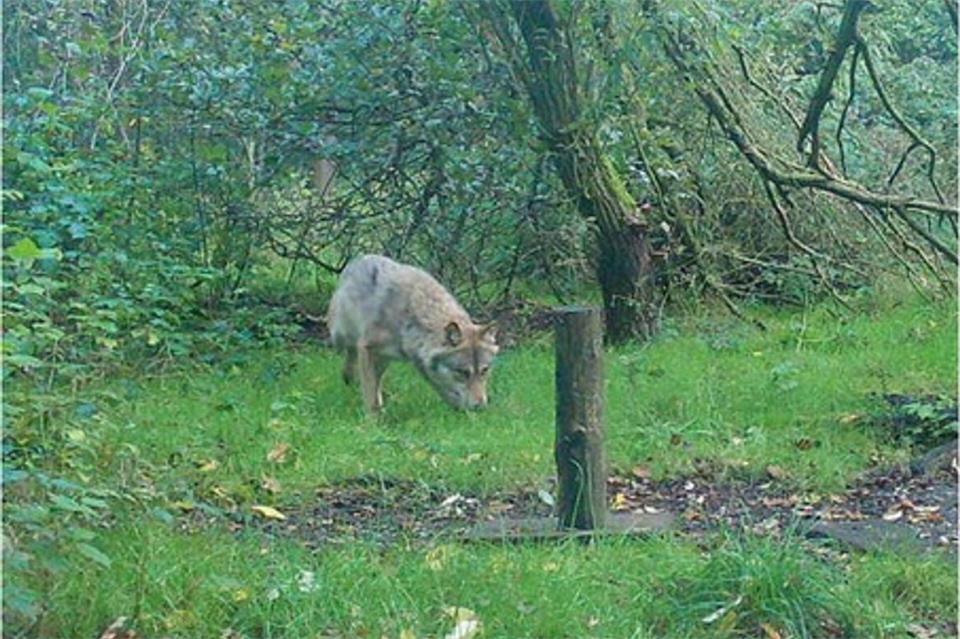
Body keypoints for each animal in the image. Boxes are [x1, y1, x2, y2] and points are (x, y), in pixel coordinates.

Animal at [326, 255, 498, 413]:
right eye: (462, 372)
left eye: (484, 370)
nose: (480, 407)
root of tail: (357, 260)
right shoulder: (366, 347)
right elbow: (370, 395)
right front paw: (373, 421)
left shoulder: (420, 363)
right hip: (341, 337)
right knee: (350, 358)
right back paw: (350, 380)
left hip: (383, 359)